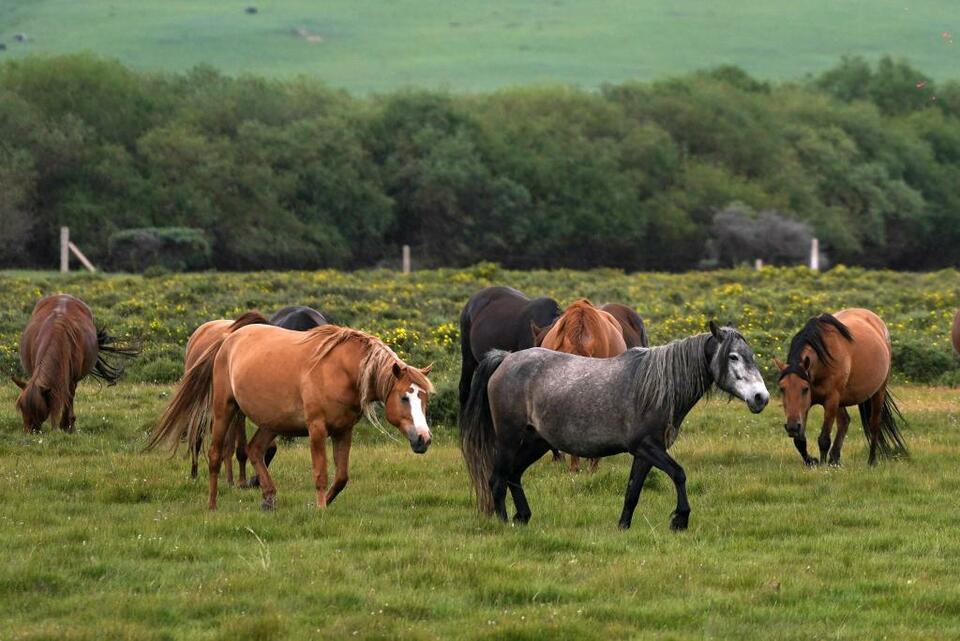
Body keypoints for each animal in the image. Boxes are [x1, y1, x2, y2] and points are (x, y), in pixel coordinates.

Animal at [13, 292, 139, 432]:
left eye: (38, 410)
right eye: (21, 407)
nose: (29, 432)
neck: (56, 335)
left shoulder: (71, 379)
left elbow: (68, 397)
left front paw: (67, 425)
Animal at [146, 318, 436, 512]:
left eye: (424, 399)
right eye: (404, 397)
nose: (423, 438)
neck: (343, 371)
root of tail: (228, 339)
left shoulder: (343, 430)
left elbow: (342, 477)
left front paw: (322, 502)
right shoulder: (317, 429)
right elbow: (320, 473)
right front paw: (320, 509)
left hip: (271, 422)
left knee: (255, 449)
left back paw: (269, 497)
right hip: (224, 409)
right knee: (217, 455)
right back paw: (213, 504)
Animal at [462, 322, 768, 528]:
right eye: (733, 357)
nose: (760, 398)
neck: (654, 388)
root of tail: (506, 359)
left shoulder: (645, 454)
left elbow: (633, 491)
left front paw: (623, 526)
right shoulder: (646, 446)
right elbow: (679, 474)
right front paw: (680, 519)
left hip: (537, 442)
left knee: (513, 474)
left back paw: (523, 517)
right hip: (509, 440)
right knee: (497, 479)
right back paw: (503, 523)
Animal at [772, 308, 908, 464]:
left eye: (805, 389)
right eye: (782, 389)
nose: (792, 427)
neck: (822, 362)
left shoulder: (831, 400)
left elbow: (824, 439)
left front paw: (821, 465)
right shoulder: (804, 407)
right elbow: (800, 441)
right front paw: (812, 461)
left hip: (878, 392)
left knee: (874, 424)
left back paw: (871, 461)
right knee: (844, 422)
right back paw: (835, 460)